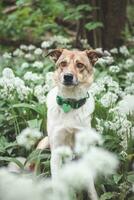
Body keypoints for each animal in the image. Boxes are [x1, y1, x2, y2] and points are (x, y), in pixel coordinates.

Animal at [37, 48, 102, 178]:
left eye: (80, 65)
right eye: (63, 63)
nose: (67, 76)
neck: (70, 103)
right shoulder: (57, 149)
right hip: (43, 144)